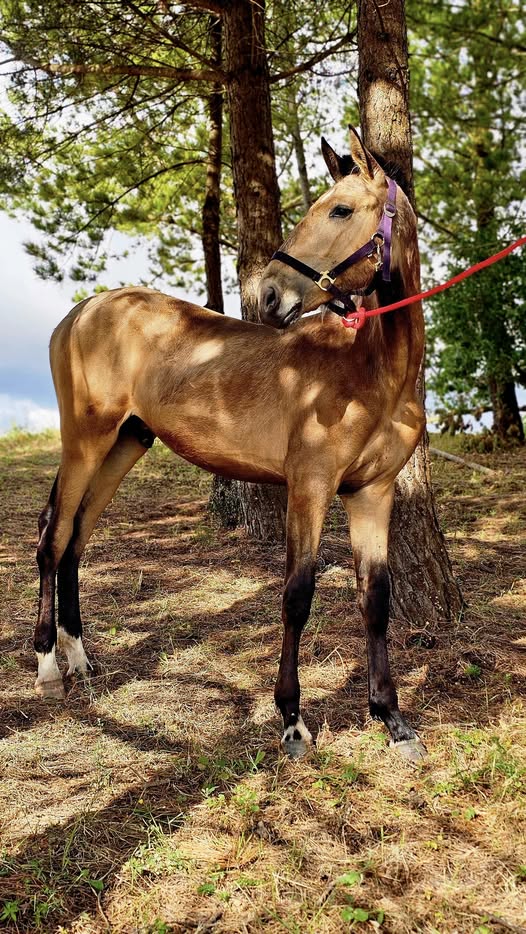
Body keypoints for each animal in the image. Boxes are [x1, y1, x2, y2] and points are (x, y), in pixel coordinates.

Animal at [34, 128, 426, 762]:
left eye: (341, 209)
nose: (269, 295)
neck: (372, 371)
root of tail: (83, 309)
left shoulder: (372, 493)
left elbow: (376, 599)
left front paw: (391, 718)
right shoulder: (309, 487)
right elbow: (297, 594)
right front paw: (292, 720)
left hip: (125, 445)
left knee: (75, 540)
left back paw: (77, 656)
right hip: (85, 441)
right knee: (53, 537)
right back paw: (47, 666)